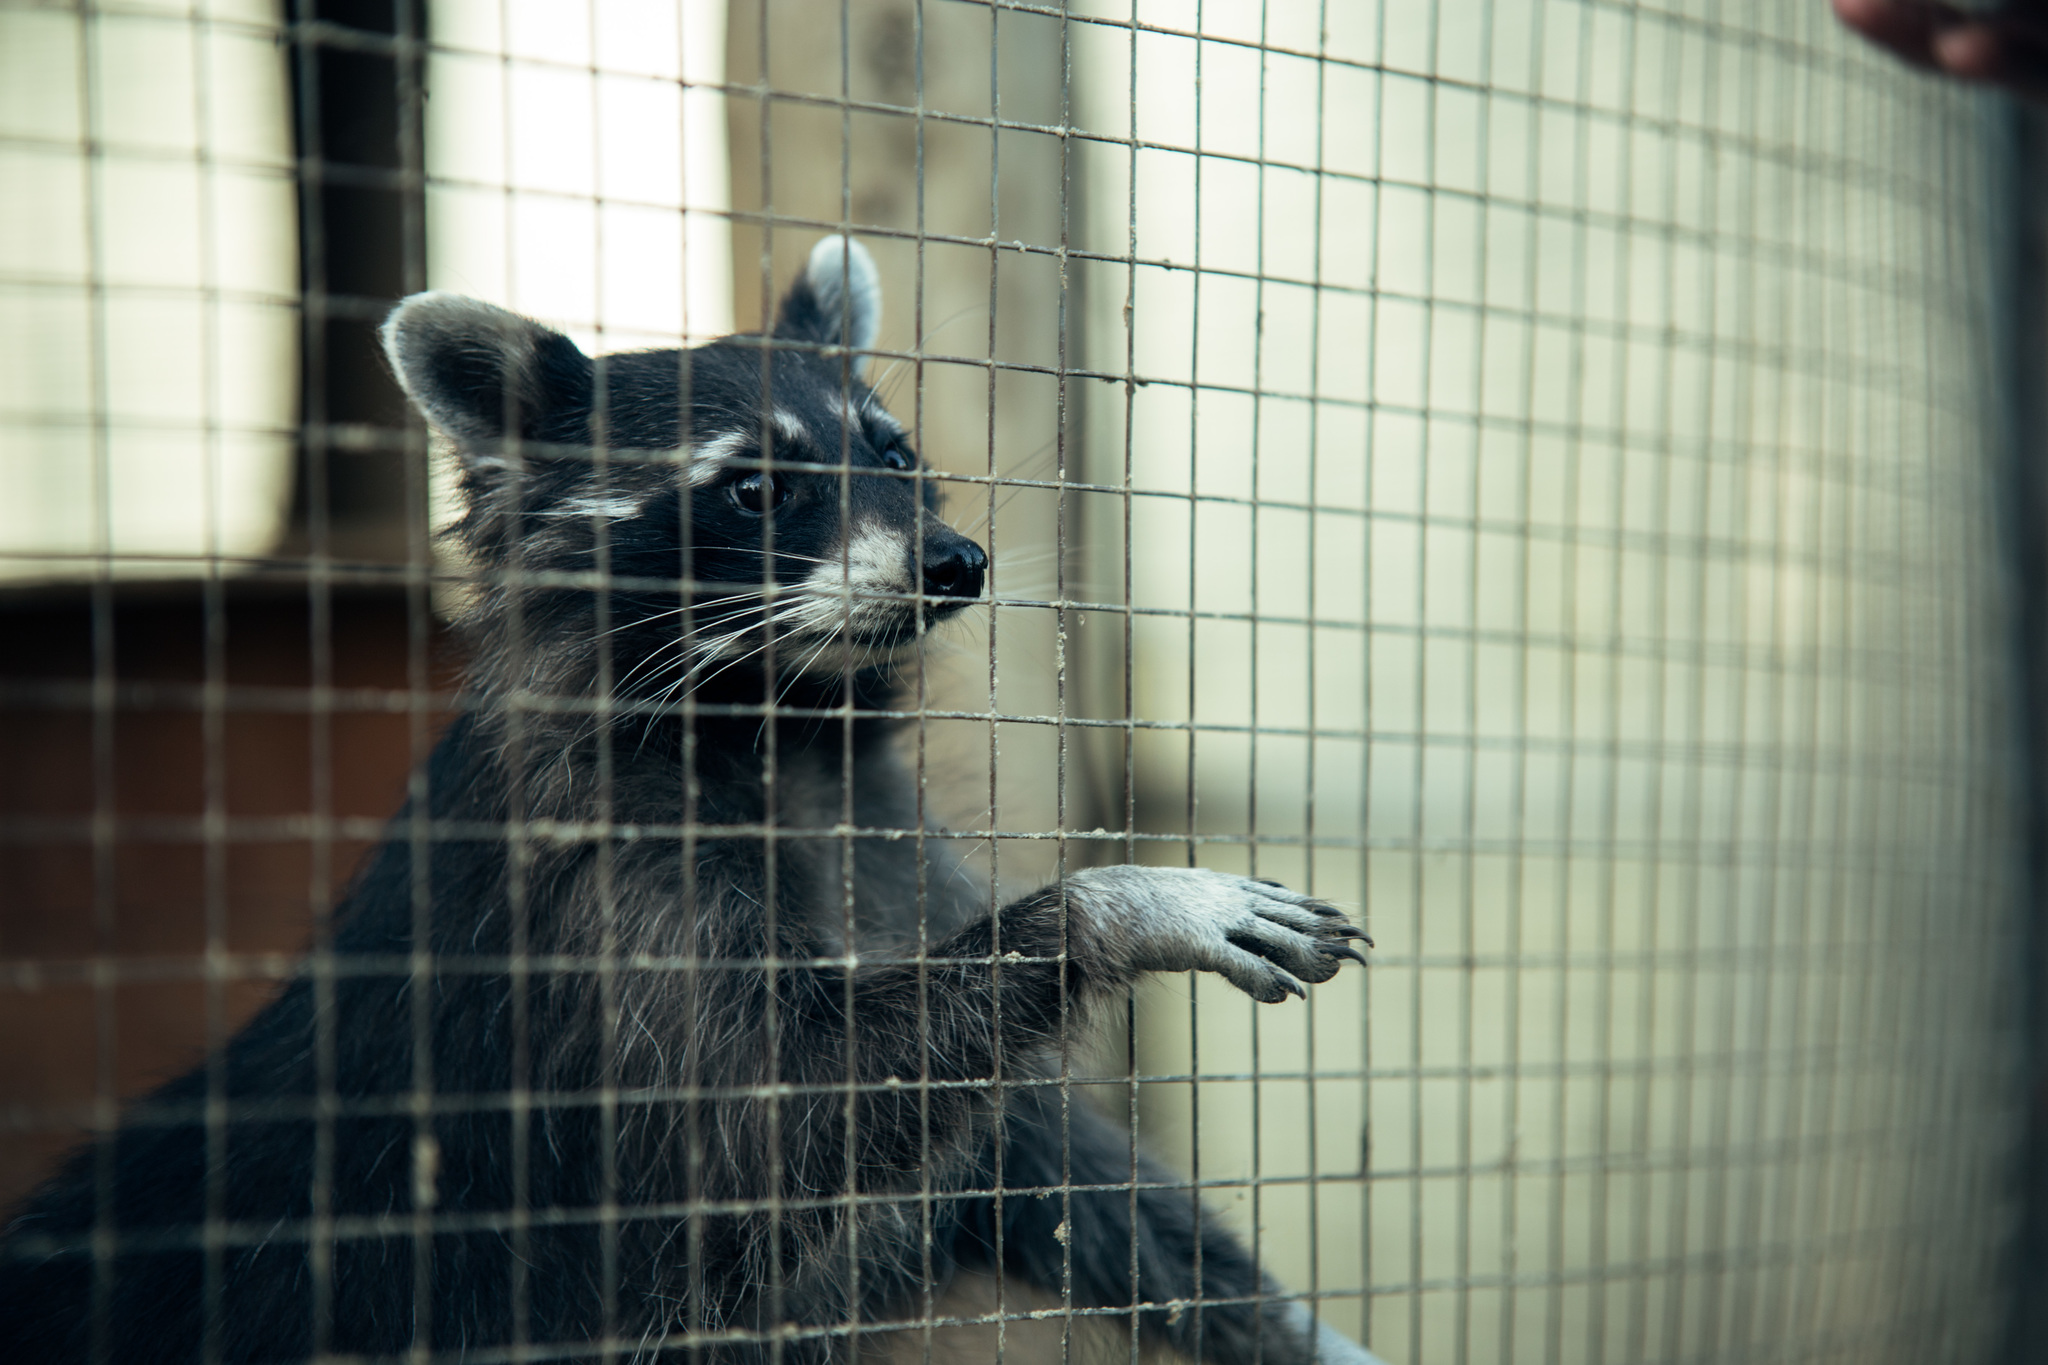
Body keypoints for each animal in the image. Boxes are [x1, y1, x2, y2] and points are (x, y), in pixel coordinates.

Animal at [4, 237, 1376, 1365]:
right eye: (755, 490)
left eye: (893, 455)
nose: (956, 563)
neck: (783, 729)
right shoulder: (598, 890)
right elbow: (771, 1123)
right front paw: (1117, 905)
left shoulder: (878, 841)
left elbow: (1042, 1163)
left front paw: (1284, 1323)